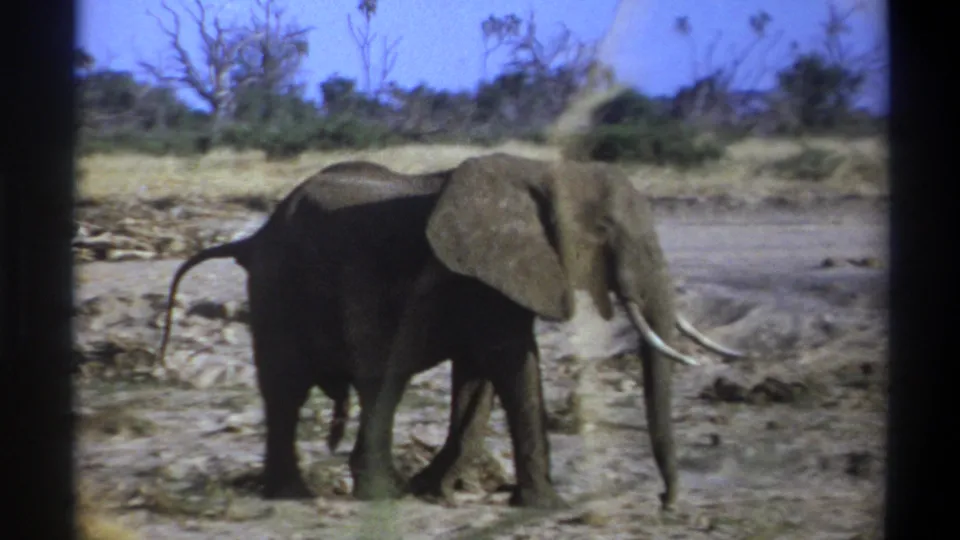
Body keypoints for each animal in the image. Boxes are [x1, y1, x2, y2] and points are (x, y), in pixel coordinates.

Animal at [157, 153, 744, 510]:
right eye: (603, 231)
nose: (667, 504)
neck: (541, 170)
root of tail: (252, 238)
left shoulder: (492, 277)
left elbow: (479, 376)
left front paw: (438, 490)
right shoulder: (484, 275)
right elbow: (513, 363)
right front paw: (543, 506)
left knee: (330, 390)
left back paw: (322, 492)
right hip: (280, 289)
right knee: (307, 388)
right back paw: (327, 493)